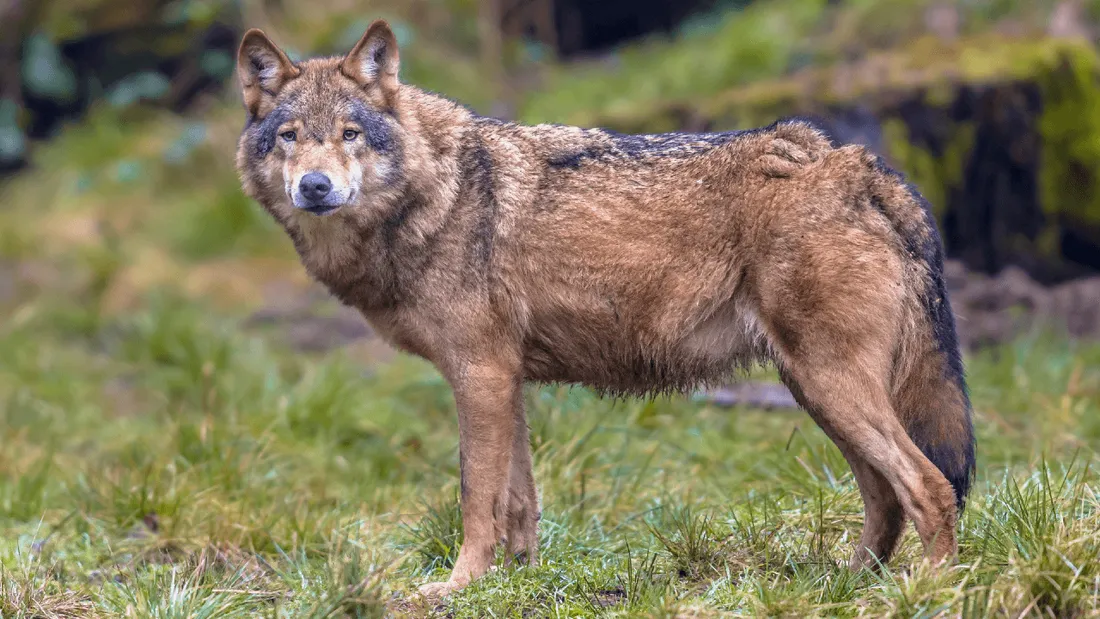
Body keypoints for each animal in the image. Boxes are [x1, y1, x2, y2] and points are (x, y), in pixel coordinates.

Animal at [235, 20, 975, 597]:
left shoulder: (479, 374)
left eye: (350, 134)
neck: (436, 195)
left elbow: (476, 498)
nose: (315, 187)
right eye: (290, 137)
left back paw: (930, 589)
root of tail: (855, 162)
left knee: (930, 485)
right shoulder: (506, 380)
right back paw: (845, 586)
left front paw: (457, 586)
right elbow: (519, 504)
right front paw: (517, 582)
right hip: (815, 389)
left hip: (830, 384)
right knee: (885, 497)